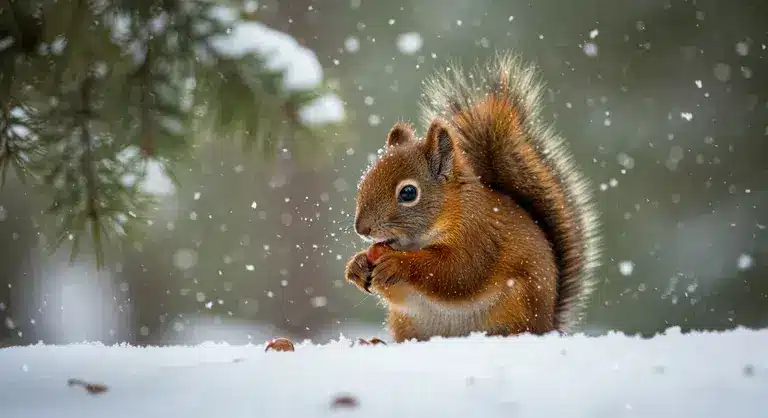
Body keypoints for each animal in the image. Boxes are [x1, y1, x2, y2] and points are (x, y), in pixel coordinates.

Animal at [344, 52, 604, 342]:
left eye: (408, 192)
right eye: (364, 181)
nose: (362, 228)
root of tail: (549, 326)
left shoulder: (480, 236)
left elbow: (458, 272)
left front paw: (397, 264)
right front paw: (356, 265)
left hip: (519, 306)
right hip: (407, 323)